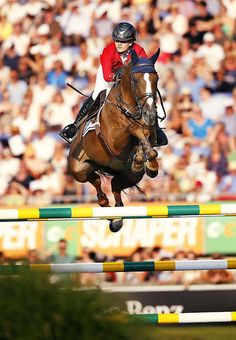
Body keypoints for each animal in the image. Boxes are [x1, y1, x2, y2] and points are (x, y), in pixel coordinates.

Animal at [67, 49, 161, 232]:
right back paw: (111, 212)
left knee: (115, 185)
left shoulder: (150, 133)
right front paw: (145, 158)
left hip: (130, 176)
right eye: (135, 79)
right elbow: (134, 130)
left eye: (156, 79)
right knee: (95, 180)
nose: (150, 114)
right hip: (79, 170)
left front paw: (148, 162)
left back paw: (117, 217)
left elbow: (146, 138)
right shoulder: (115, 138)